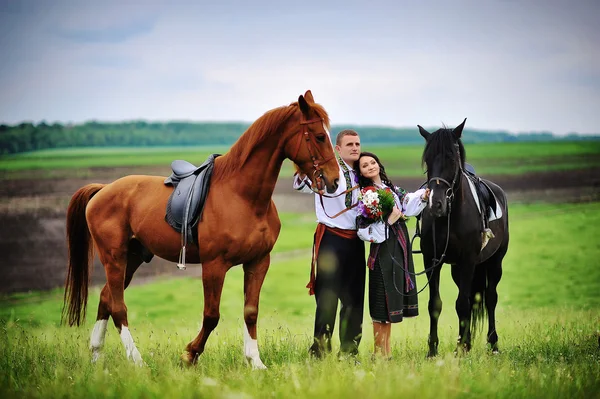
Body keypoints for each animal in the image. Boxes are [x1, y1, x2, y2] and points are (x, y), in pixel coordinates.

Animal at [64, 90, 342, 368]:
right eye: (319, 136)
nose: (335, 180)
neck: (242, 196)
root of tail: (103, 189)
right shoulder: (214, 266)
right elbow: (211, 315)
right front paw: (190, 354)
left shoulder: (258, 261)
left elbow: (250, 312)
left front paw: (255, 361)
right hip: (114, 257)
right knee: (118, 307)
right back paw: (137, 361)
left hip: (132, 257)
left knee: (106, 298)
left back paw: (97, 355)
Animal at [418, 118, 510, 356]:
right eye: (427, 160)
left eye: (452, 159)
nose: (436, 204)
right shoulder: (432, 261)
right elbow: (435, 304)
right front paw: (433, 350)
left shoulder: (468, 259)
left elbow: (463, 304)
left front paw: (460, 349)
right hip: (457, 269)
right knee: (470, 299)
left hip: (494, 262)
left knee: (490, 298)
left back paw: (493, 344)